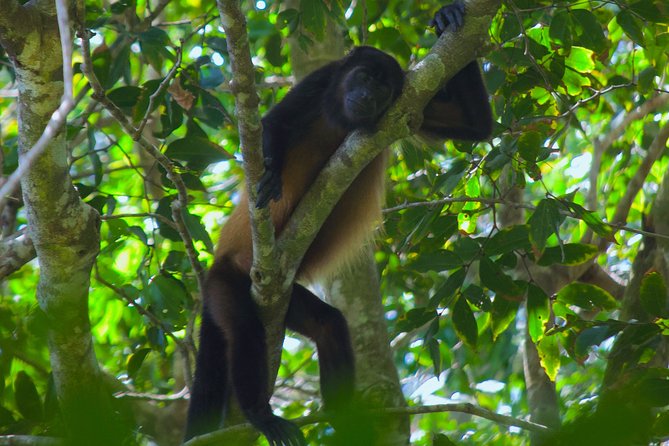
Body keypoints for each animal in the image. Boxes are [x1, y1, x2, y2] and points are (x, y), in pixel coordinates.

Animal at [183, 1, 490, 444]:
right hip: (228, 283)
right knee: (241, 328)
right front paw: (270, 176)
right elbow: (272, 125)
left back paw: (343, 420)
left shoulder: (410, 106)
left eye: (383, 89)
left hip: (286, 298)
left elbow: (476, 126)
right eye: (363, 77)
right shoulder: (319, 80)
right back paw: (259, 413)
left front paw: (447, 20)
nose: (366, 95)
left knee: (329, 324)